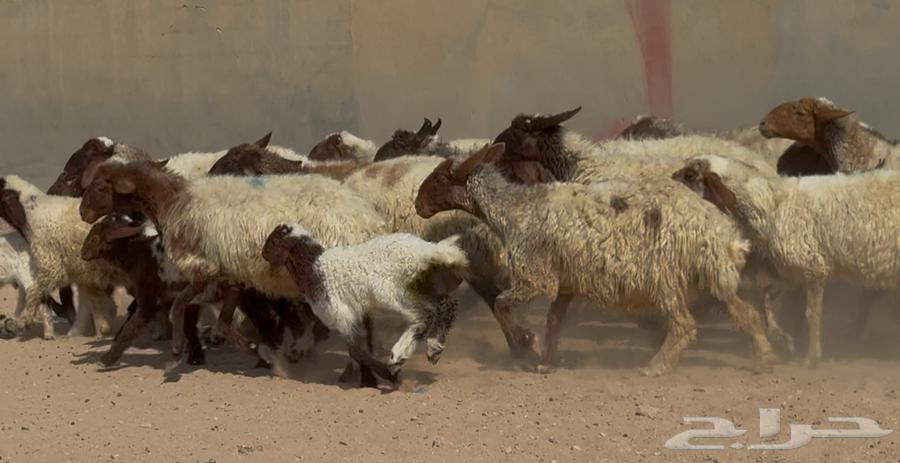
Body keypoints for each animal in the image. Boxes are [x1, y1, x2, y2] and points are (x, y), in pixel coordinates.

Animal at [78, 160, 387, 367]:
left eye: (101, 185)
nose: (82, 212)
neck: (174, 201)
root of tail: (369, 220)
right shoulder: (230, 276)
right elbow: (222, 320)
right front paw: (251, 350)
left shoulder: (203, 268)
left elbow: (178, 307)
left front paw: (177, 349)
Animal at [262, 225, 464, 385]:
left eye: (272, 241)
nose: (263, 253)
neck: (313, 268)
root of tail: (426, 250)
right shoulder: (357, 315)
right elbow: (365, 346)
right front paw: (369, 379)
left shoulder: (343, 315)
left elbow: (356, 351)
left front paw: (390, 376)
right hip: (422, 288)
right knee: (447, 306)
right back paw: (434, 348)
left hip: (394, 293)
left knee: (425, 317)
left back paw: (398, 357)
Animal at [415, 144, 776, 376]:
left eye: (439, 179)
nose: (418, 204)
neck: (514, 210)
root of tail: (720, 228)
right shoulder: (565, 283)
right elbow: (554, 321)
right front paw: (545, 361)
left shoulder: (536, 276)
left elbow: (503, 304)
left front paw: (526, 342)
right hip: (712, 272)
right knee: (747, 313)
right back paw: (764, 358)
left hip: (665, 274)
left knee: (685, 325)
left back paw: (656, 366)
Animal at [672, 155, 900, 367]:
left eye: (690, 174)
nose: (669, 181)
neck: (772, 204)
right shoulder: (790, 271)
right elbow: (769, 304)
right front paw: (783, 340)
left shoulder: (813, 264)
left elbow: (812, 314)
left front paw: (811, 358)